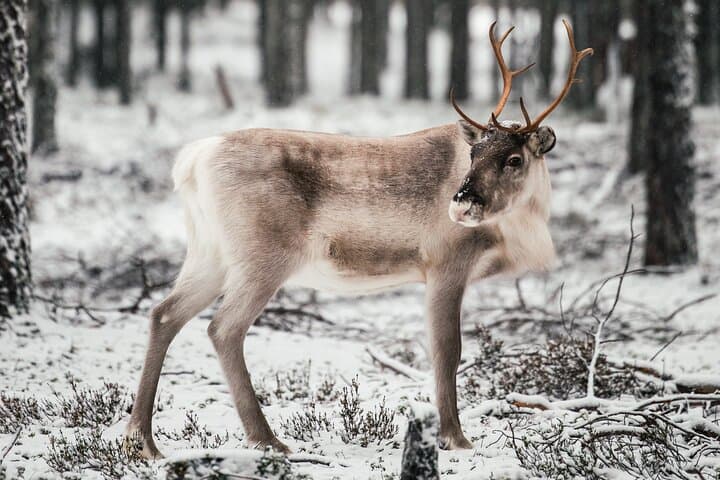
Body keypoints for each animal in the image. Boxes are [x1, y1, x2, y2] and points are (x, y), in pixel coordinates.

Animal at [126, 20, 592, 457]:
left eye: (514, 159)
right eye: (475, 154)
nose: (461, 206)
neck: (519, 228)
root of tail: (193, 160)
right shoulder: (445, 263)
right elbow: (447, 350)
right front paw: (456, 438)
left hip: (208, 253)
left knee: (164, 314)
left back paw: (143, 439)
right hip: (263, 257)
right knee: (223, 328)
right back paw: (267, 440)